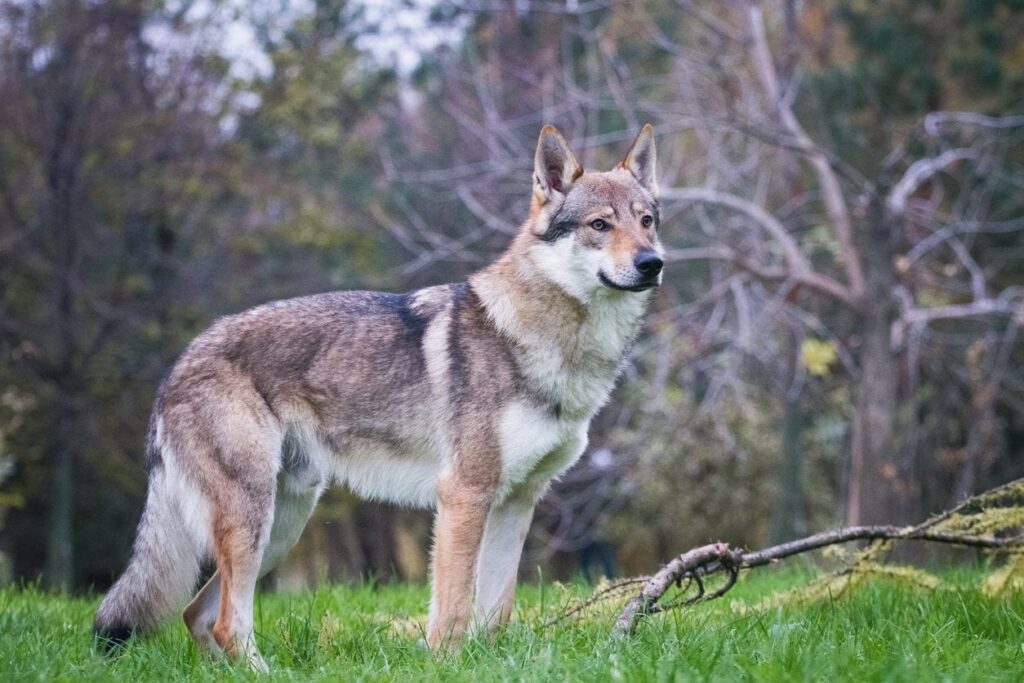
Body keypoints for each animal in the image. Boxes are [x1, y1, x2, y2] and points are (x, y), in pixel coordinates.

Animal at [94, 124, 664, 671]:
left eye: (647, 220)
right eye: (599, 225)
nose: (653, 263)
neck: (547, 342)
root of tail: (177, 365)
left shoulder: (517, 501)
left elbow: (496, 612)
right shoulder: (463, 495)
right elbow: (452, 610)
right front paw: (445, 665)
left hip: (283, 524)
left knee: (198, 613)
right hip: (257, 520)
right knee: (227, 621)